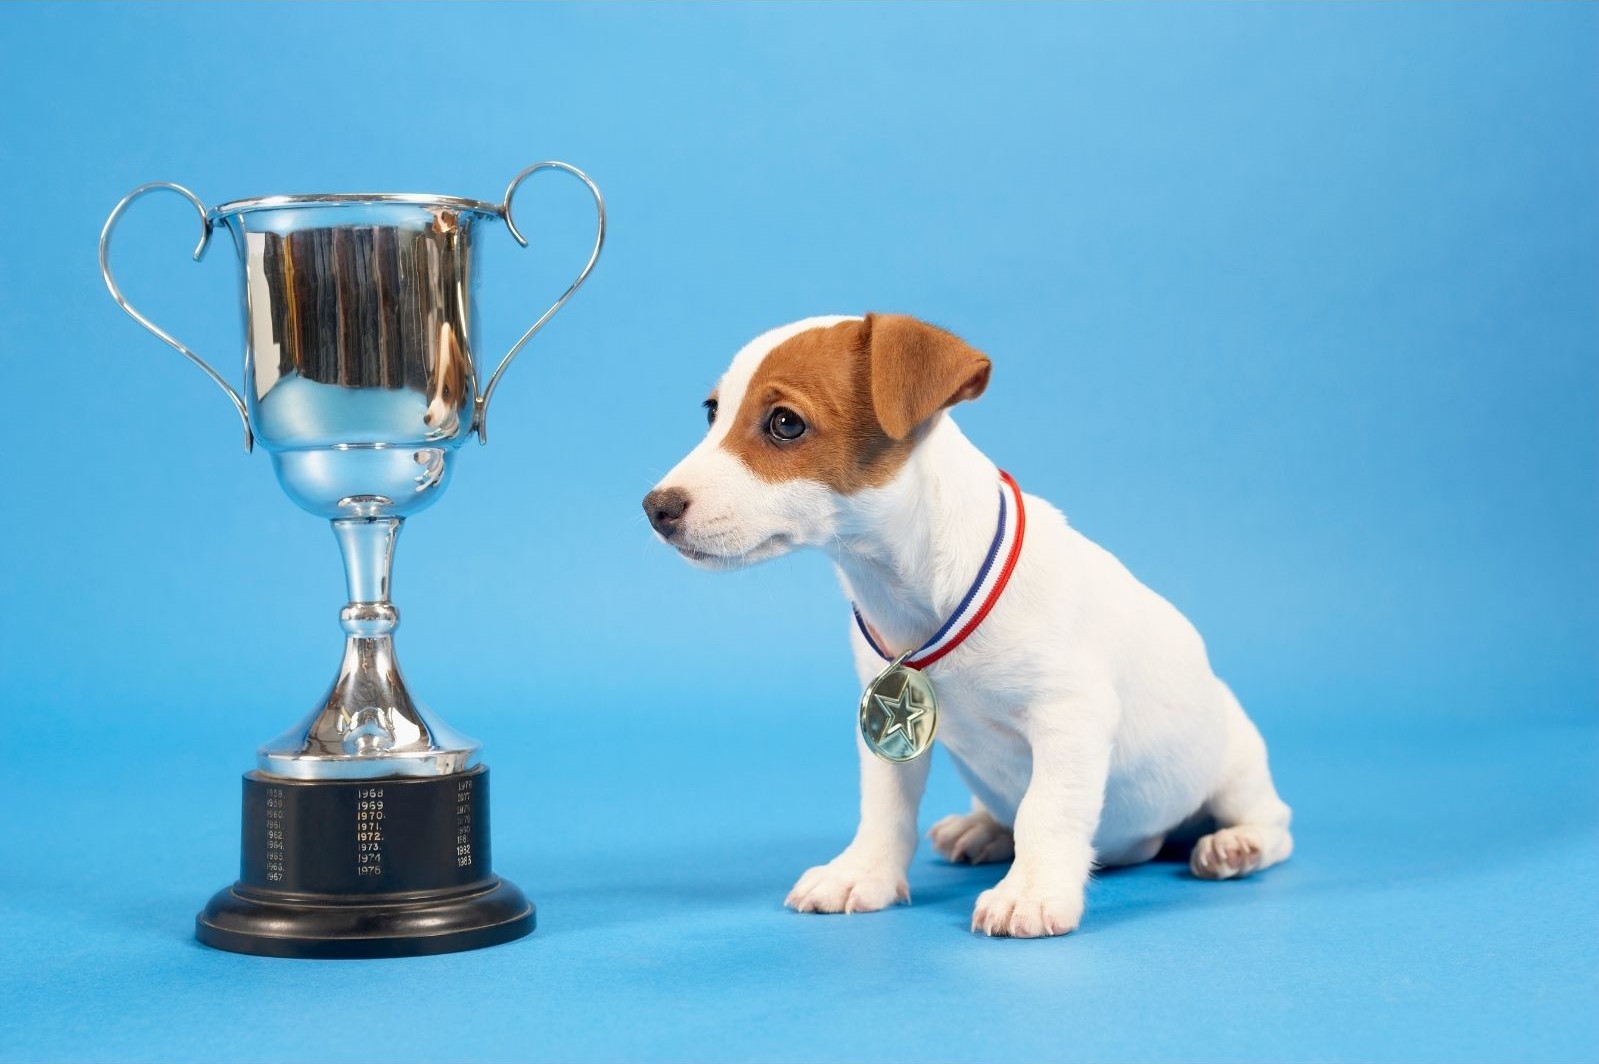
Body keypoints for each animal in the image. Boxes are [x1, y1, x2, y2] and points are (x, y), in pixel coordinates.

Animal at [642, 315, 1291, 940]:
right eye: (712, 413)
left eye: (784, 423)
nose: (655, 508)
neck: (917, 594)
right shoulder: (884, 729)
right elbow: (885, 809)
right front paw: (864, 873)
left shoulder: (1070, 716)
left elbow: (1046, 810)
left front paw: (1031, 893)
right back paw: (982, 829)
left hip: (1234, 766)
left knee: (1272, 821)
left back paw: (1237, 843)